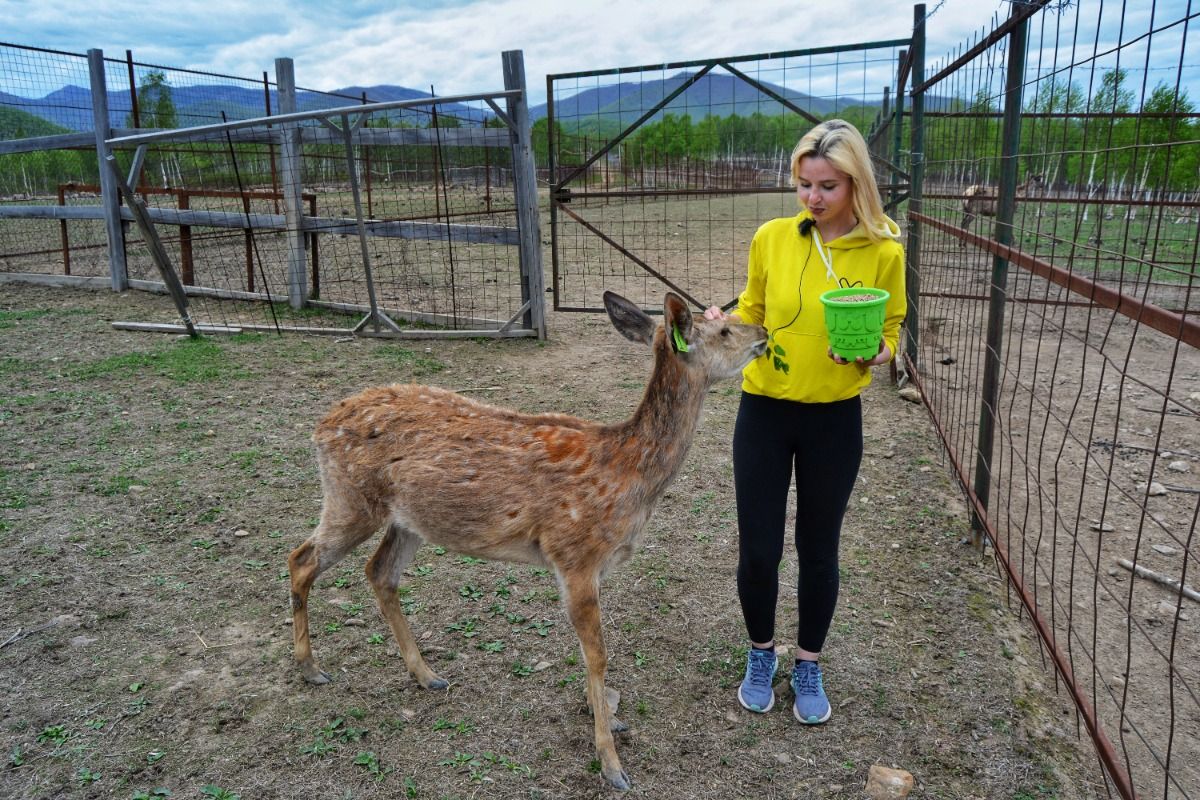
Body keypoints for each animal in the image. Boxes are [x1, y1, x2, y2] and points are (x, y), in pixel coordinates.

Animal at [285, 291, 763, 791]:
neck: (628, 477)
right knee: (301, 559)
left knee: (378, 571)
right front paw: (611, 763)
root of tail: (320, 426)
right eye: (724, 329)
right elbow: (598, 656)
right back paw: (311, 668)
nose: (765, 334)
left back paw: (426, 675)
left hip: (407, 520)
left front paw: (608, 720)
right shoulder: (573, 554)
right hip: (350, 498)